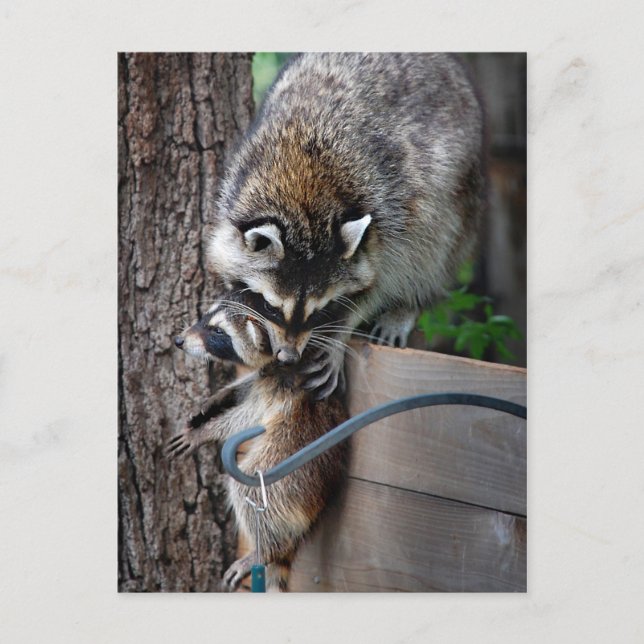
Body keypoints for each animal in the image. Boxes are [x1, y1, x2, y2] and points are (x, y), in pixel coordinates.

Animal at [168, 292, 348, 591]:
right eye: (204, 318)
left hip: (288, 472)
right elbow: (247, 385)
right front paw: (217, 398)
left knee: (250, 489)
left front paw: (205, 432)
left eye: (218, 332)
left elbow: (247, 418)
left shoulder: (284, 390)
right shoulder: (270, 375)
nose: (179, 341)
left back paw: (266, 550)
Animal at [209, 53, 485, 398]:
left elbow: (383, 279)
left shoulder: (390, 211)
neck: (302, 199)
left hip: (459, 186)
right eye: (272, 307)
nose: (289, 356)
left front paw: (340, 329)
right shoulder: (236, 183)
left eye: (319, 311)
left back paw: (411, 301)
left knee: (437, 239)